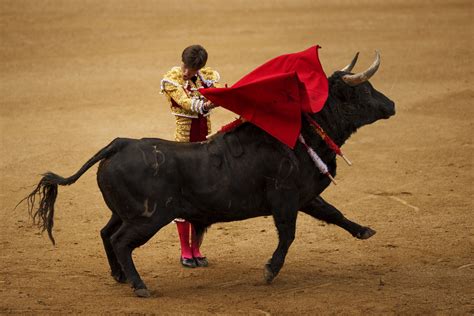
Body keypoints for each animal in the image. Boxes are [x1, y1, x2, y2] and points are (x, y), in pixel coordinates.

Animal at [23, 60, 396, 298]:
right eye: (365, 92)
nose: (391, 105)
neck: (302, 133)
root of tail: (121, 143)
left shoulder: (304, 196)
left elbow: (333, 213)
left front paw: (364, 231)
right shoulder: (285, 198)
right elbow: (288, 235)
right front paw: (269, 271)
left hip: (125, 211)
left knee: (105, 233)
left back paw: (120, 276)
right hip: (148, 217)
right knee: (120, 241)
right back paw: (140, 285)